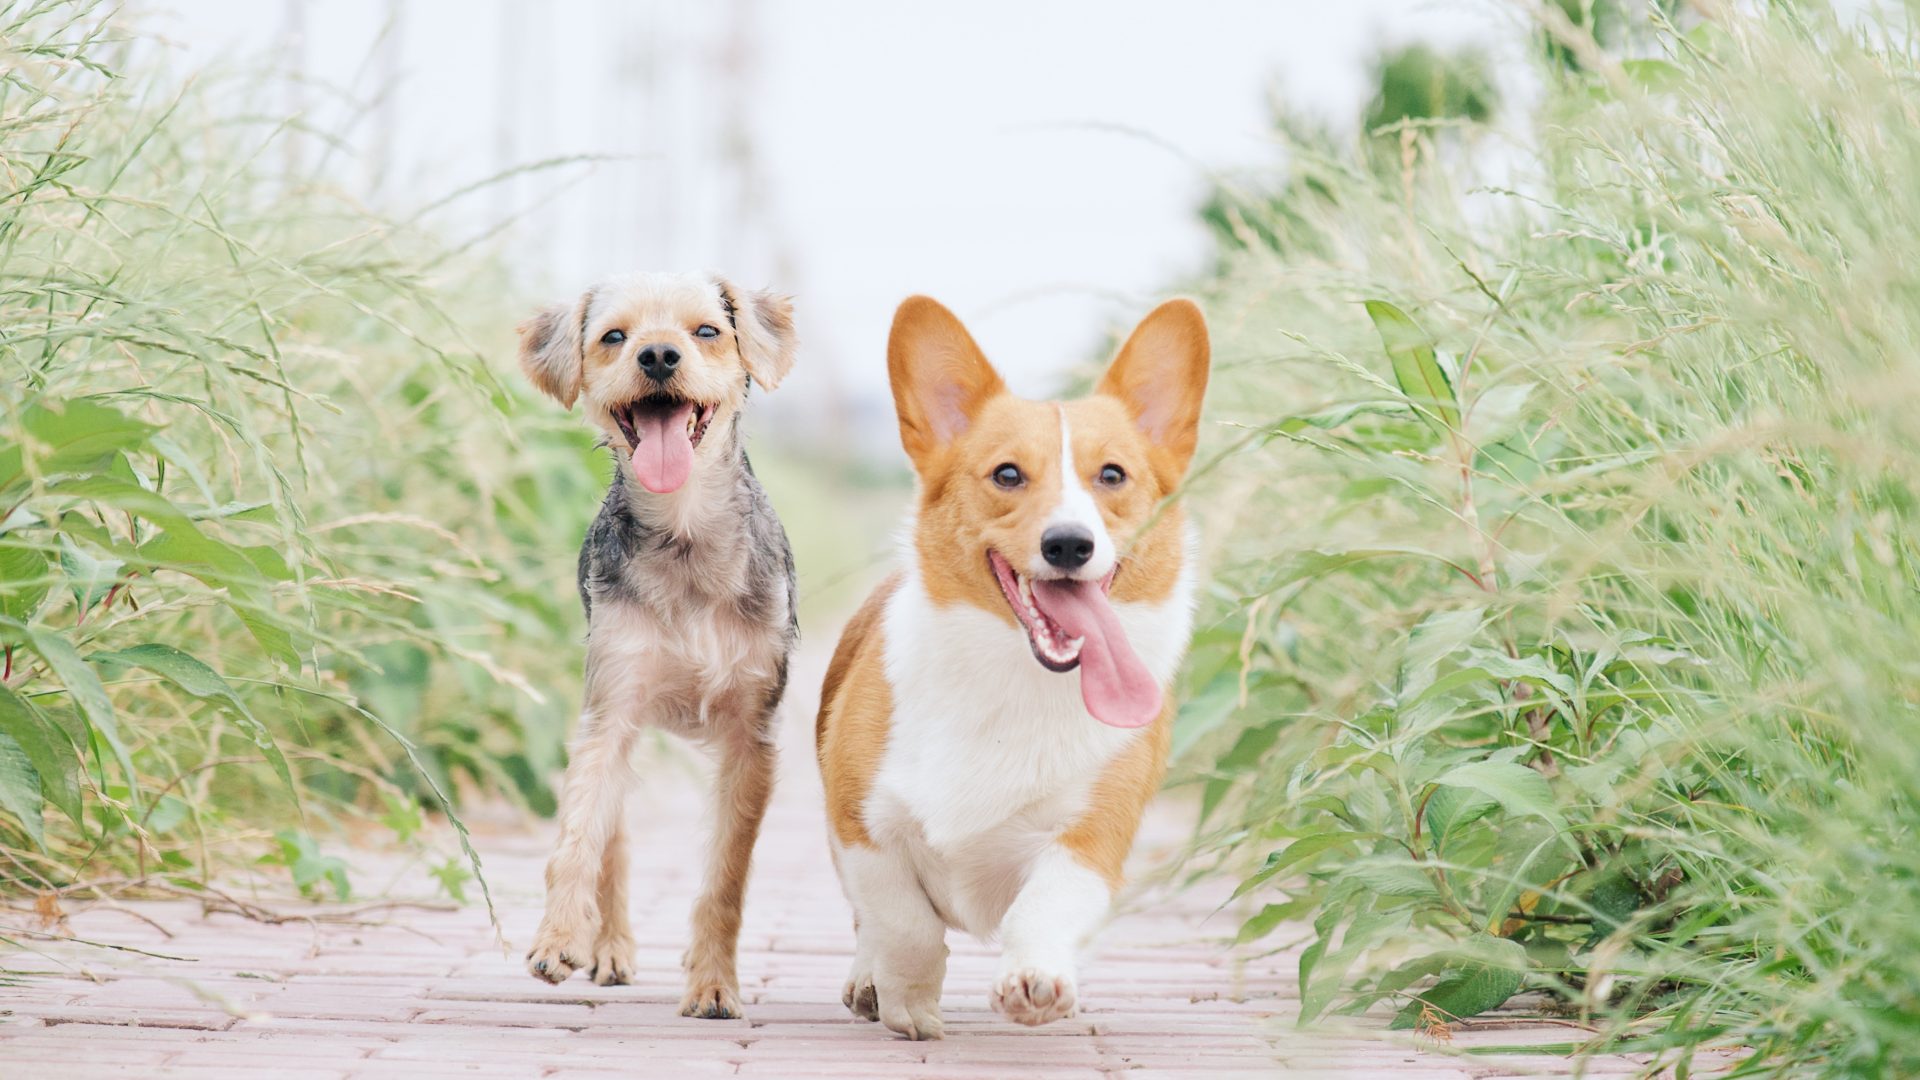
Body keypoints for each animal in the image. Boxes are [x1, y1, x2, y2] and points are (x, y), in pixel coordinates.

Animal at [514, 269, 798, 1014]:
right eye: (614, 336)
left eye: (707, 331)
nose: (659, 355)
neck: (685, 529)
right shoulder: (610, 707)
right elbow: (578, 838)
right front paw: (559, 937)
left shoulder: (750, 737)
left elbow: (727, 875)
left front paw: (714, 983)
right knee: (612, 840)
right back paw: (606, 947)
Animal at [814, 294, 1205, 1037]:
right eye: (1007, 475)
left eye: (1112, 475)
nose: (1070, 544)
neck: (1016, 678)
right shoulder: (862, 826)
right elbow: (902, 924)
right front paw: (907, 1001)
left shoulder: (1092, 840)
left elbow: (1043, 904)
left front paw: (1035, 980)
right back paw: (866, 982)